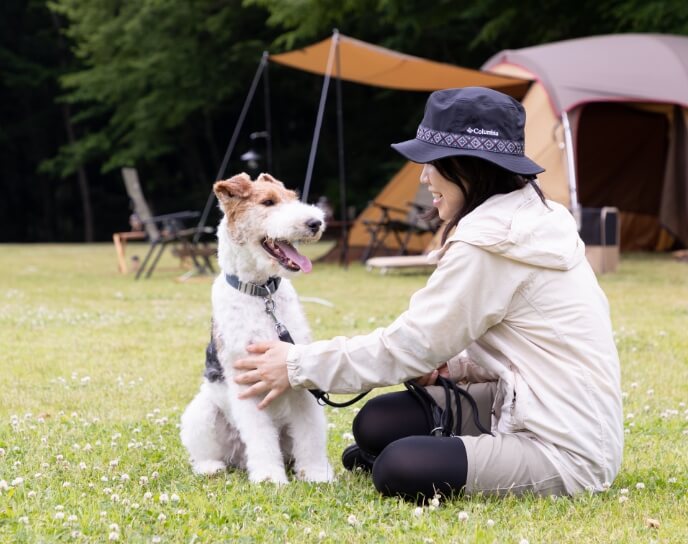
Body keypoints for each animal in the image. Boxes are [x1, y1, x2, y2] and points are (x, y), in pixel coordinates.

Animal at [180, 172, 334, 482]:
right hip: (202, 413)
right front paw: (269, 477)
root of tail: (239, 457)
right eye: (268, 202)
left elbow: (310, 432)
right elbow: (261, 435)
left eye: (292, 197)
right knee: (205, 453)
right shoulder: (245, 378)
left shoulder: (296, 372)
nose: (315, 223)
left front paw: (315, 472)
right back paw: (211, 466)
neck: (262, 294)